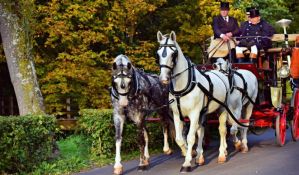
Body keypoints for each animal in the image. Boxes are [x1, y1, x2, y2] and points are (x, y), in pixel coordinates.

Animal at [158, 30, 233, 172]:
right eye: (158, 53)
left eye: (173, 54)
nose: (163, 79)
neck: (183, 87)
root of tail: (220, 73)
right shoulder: (177, 115)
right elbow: (180, 139)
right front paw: (191, 153)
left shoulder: (193, 113)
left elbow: (190, 137)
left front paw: (187, 163)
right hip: (203, 112)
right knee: (201, 130)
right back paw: (200, 157)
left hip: (222, 109)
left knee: (222, 130)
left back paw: (222, 154)